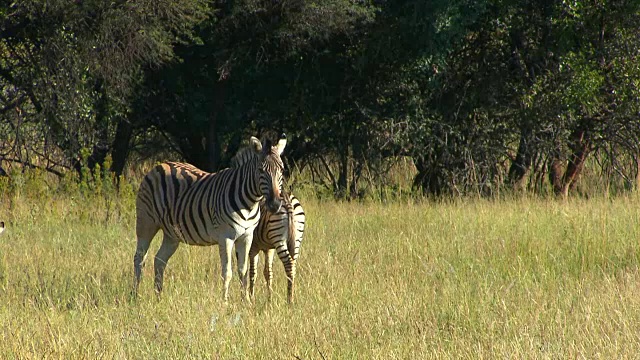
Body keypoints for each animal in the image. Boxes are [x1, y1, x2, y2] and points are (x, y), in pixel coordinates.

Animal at [134, 134, 286, 300]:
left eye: (282, 170)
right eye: (260, 170)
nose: (275, 204)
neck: (250, 203)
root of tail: (160, 165)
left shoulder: (247, 236)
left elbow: (243, 271)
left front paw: (245, 300)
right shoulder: (226, 237)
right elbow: (227, 272)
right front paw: (224, 301)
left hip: (172, 234)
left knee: (159, 260)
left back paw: (158, 296)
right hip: (146, 222)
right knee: (139, 258)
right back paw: (134, 296)